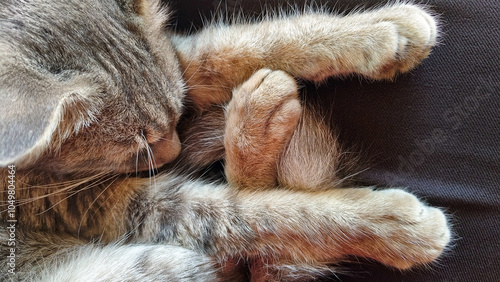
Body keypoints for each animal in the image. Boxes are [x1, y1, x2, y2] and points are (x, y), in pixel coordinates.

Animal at [0, 0, 452, 280]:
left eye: (176, 111)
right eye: (135, 146)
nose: (175, 150)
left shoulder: (180, 62)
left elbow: (231, 49)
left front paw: (379, 31)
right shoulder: (95, 208)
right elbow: (258, 216)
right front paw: (388, 225)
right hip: (161, 264)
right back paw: (256, 123)